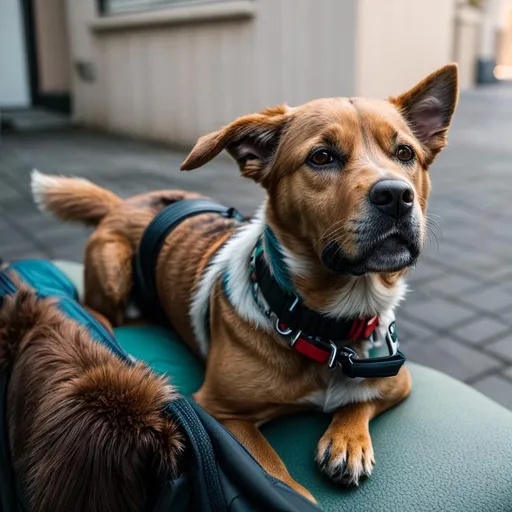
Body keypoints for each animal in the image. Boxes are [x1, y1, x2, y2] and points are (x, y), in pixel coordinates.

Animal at [31, 66, 460, 502]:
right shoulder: (220, 412)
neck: (326, 327)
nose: (396, 196)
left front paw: (348, 440)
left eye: (405, 154)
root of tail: (123, 203)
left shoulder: (397, 381)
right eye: (321, 156)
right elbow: (275, 474)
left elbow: (360, 400)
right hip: (112, 268)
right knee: (101, 310)